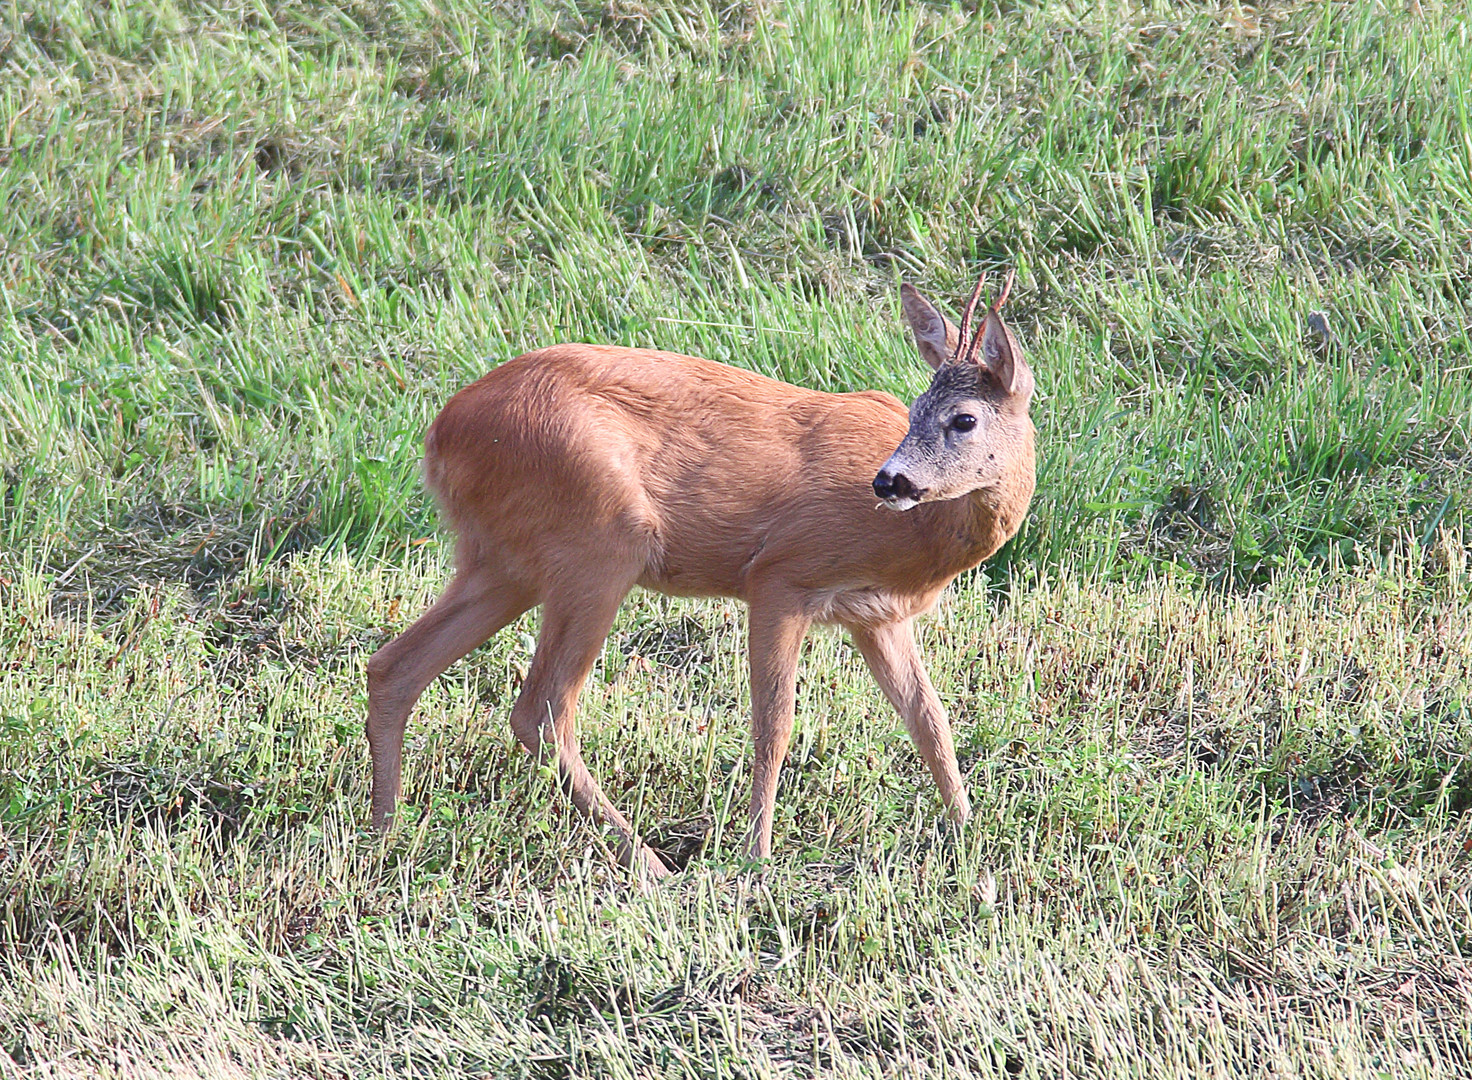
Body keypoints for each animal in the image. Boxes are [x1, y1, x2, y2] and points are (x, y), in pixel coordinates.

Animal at [368, 270, 1036, 882]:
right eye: (916, 411)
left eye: (962, 419)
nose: (888, 481)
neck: (916, 540)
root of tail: (440, 434)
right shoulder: (780, 575)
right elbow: (774, 724)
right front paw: (757, 859)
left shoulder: (876, 617)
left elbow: (929, 719)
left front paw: (969, 832)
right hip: (599, 542)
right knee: (542, 708)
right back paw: (650, 864)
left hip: (504, 561)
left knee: (395, 666)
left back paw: (384, 834)